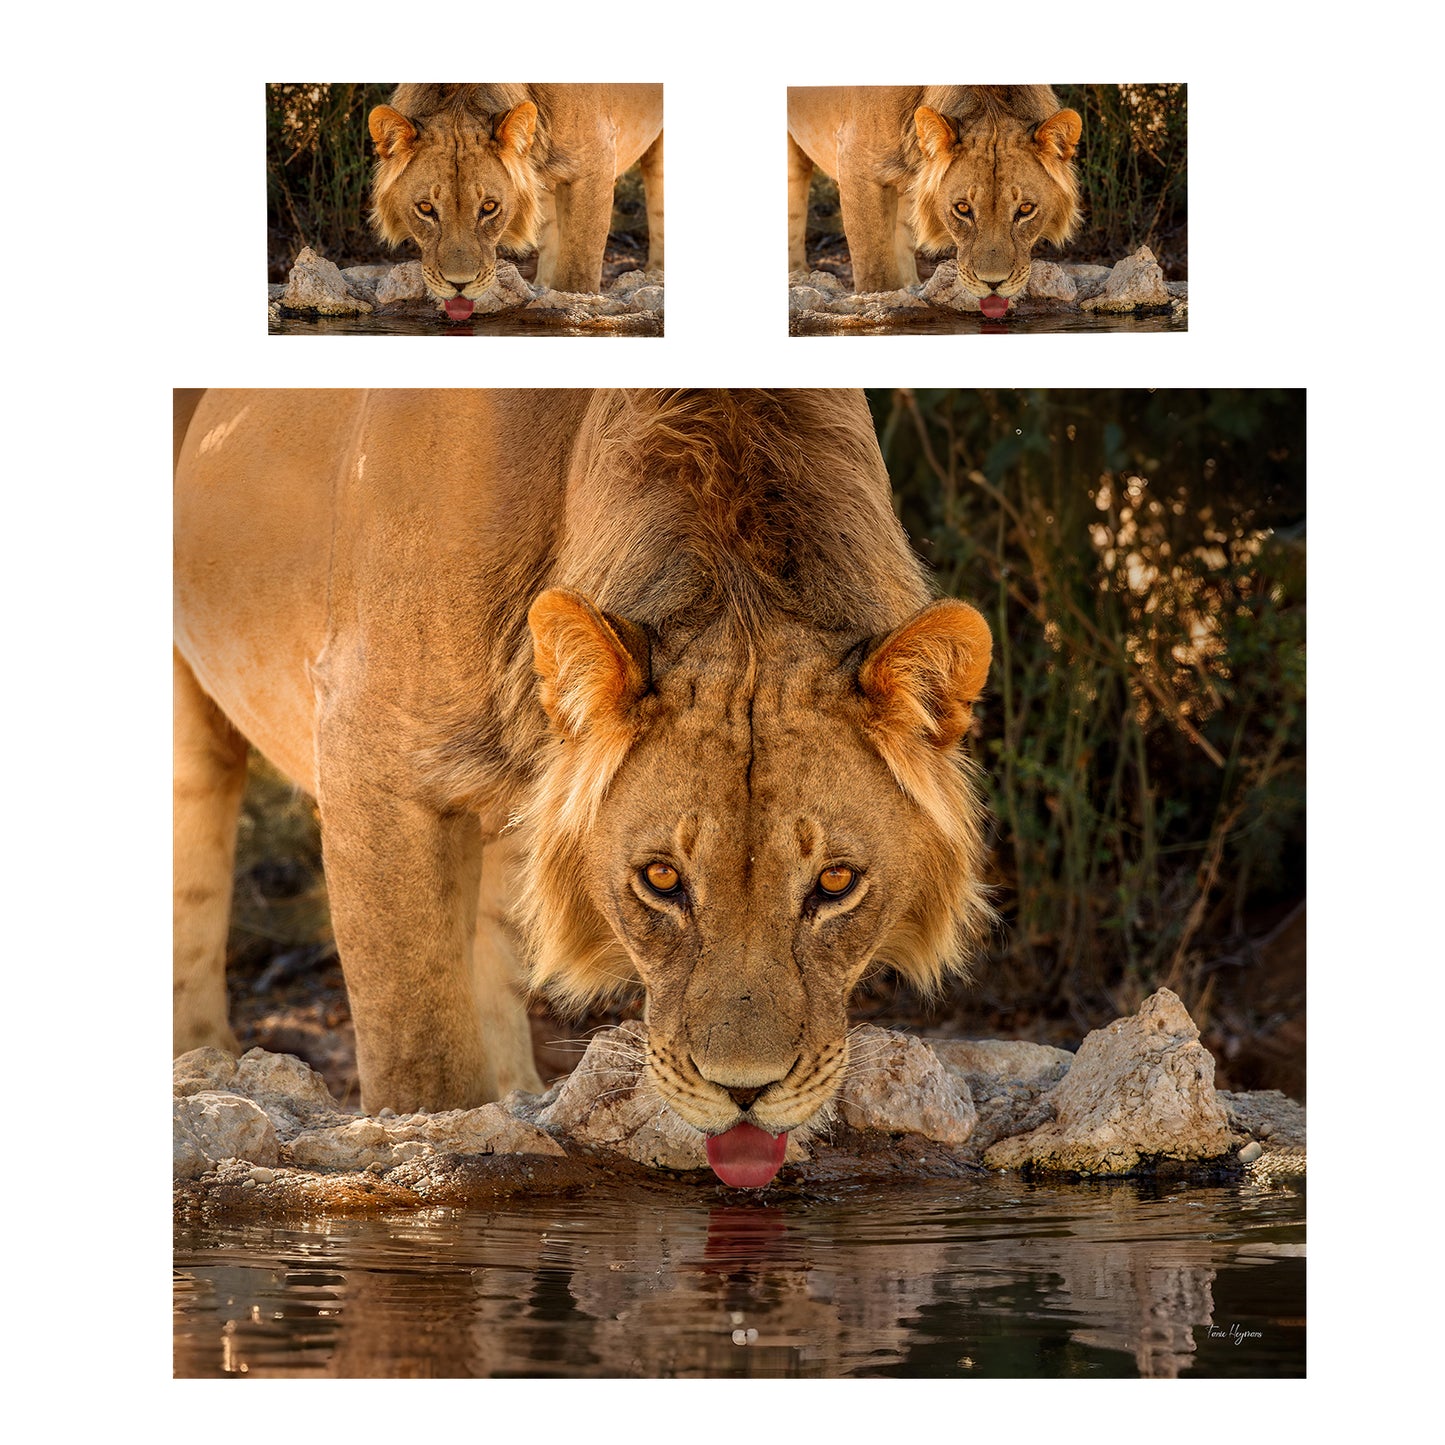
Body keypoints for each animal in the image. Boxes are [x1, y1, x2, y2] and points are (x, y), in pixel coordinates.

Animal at [368, 84, 664, 318]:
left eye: (489, 207)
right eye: (425, 208)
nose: (459, 285)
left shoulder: (595, 167)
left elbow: (577, 273)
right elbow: (550, 240)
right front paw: (543, 293)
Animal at [787, 86, 1081, 313]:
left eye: (1026, 209)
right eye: (962, 208)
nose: (993, 284)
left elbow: (903, 244)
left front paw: (909, 293)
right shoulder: (856, 168)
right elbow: (876, 272)